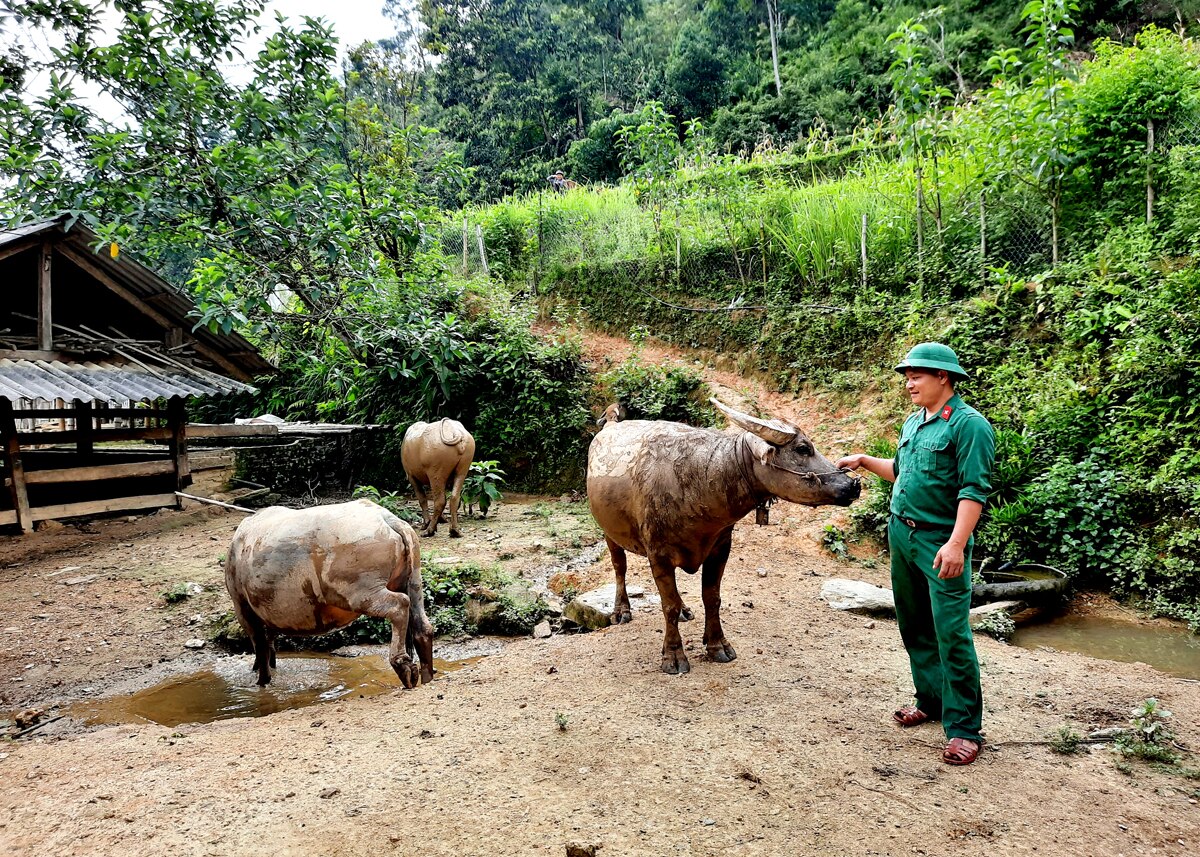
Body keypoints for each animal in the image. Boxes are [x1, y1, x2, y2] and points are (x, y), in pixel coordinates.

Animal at [223, 496, 434, 686]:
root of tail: (390, 520)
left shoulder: (242, 604)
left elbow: (259, 643)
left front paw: (262, 682)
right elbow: (267, 641)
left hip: (358, 561)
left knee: (394, 602)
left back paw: (404, 671)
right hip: (411, 555)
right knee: (415, 596)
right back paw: (426, 678)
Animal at [585, 396, 859, 672]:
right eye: (803, 448)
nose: (853, 485)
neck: (700, 481)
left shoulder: (720, 547)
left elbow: (712, 598)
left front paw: (717, 645)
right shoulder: (658, 554)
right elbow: (667, 606)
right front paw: (673, 655)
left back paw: (684, 610)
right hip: (608, 532)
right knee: (619, 567)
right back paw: (621, 611)